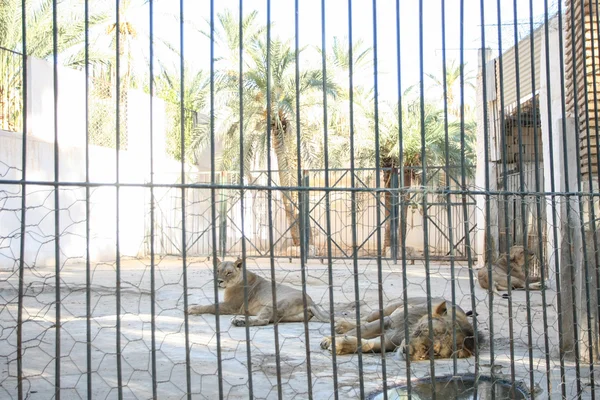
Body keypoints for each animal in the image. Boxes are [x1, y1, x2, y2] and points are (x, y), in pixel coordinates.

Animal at [189, 258, 356, 326]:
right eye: (217, 270)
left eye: (228, 273)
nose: (218, 281)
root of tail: (311, 301)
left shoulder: (232, 306)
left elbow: (211, 305)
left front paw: (192, 308)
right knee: (269, 320)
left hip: (273, 304)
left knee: (263, 321)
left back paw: (239, 321)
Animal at [318, 296, 478, 360]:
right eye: (423, 330)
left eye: (434, 352)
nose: (407, 351)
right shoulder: (389, 322)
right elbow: (361, 329)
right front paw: (329, 340)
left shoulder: (390, 342)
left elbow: (365, 344)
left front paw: (340, 345)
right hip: (387, 309)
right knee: (365, 319)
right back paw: (340, 324)